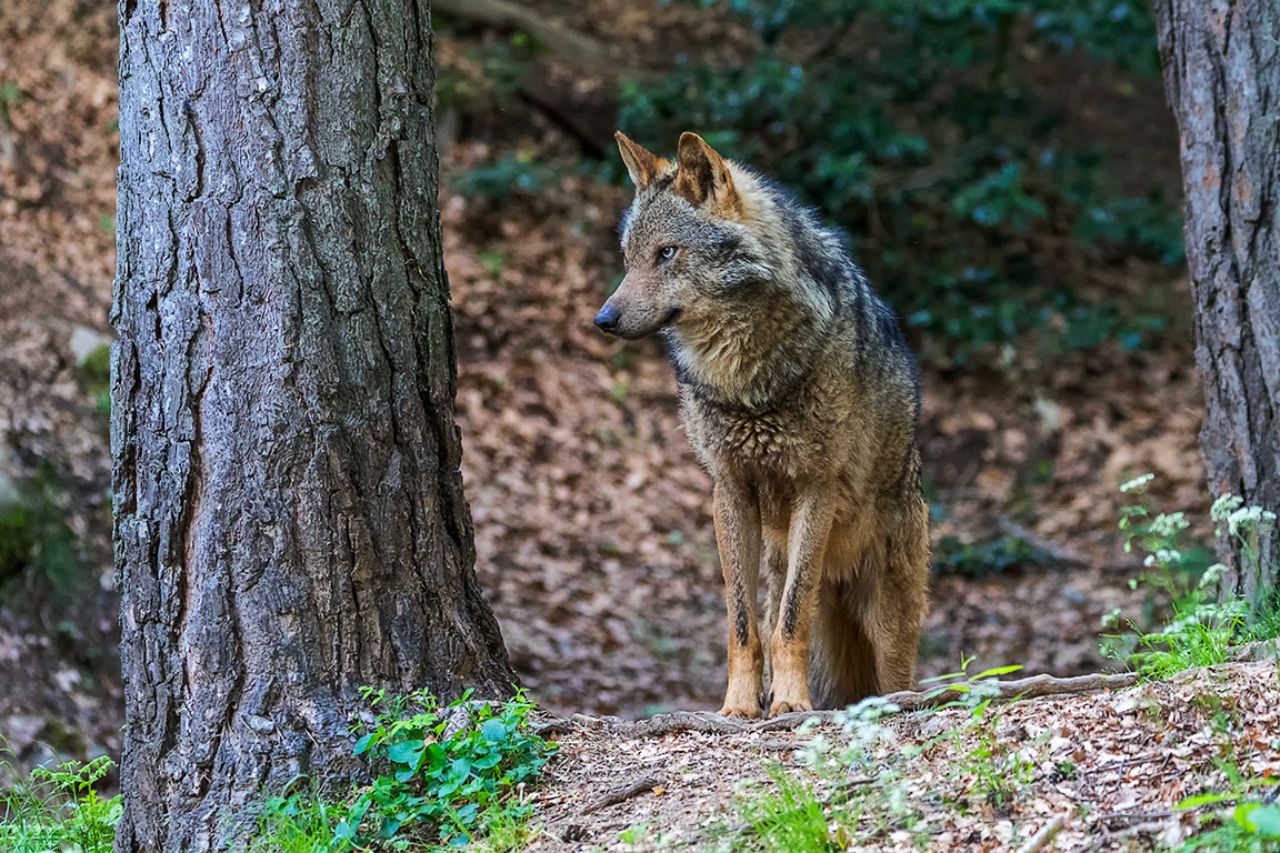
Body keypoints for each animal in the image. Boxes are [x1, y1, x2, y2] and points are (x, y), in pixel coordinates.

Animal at [595, 131, 930, 717]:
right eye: (629, 260)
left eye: (667, 253)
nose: (603, 320)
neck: (744, 380)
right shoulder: (729, 489)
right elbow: (744, 627)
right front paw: (739, 706)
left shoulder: (816, 488)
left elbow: (790, 624)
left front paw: (792, 704)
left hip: (887, 615)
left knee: (896, 676)